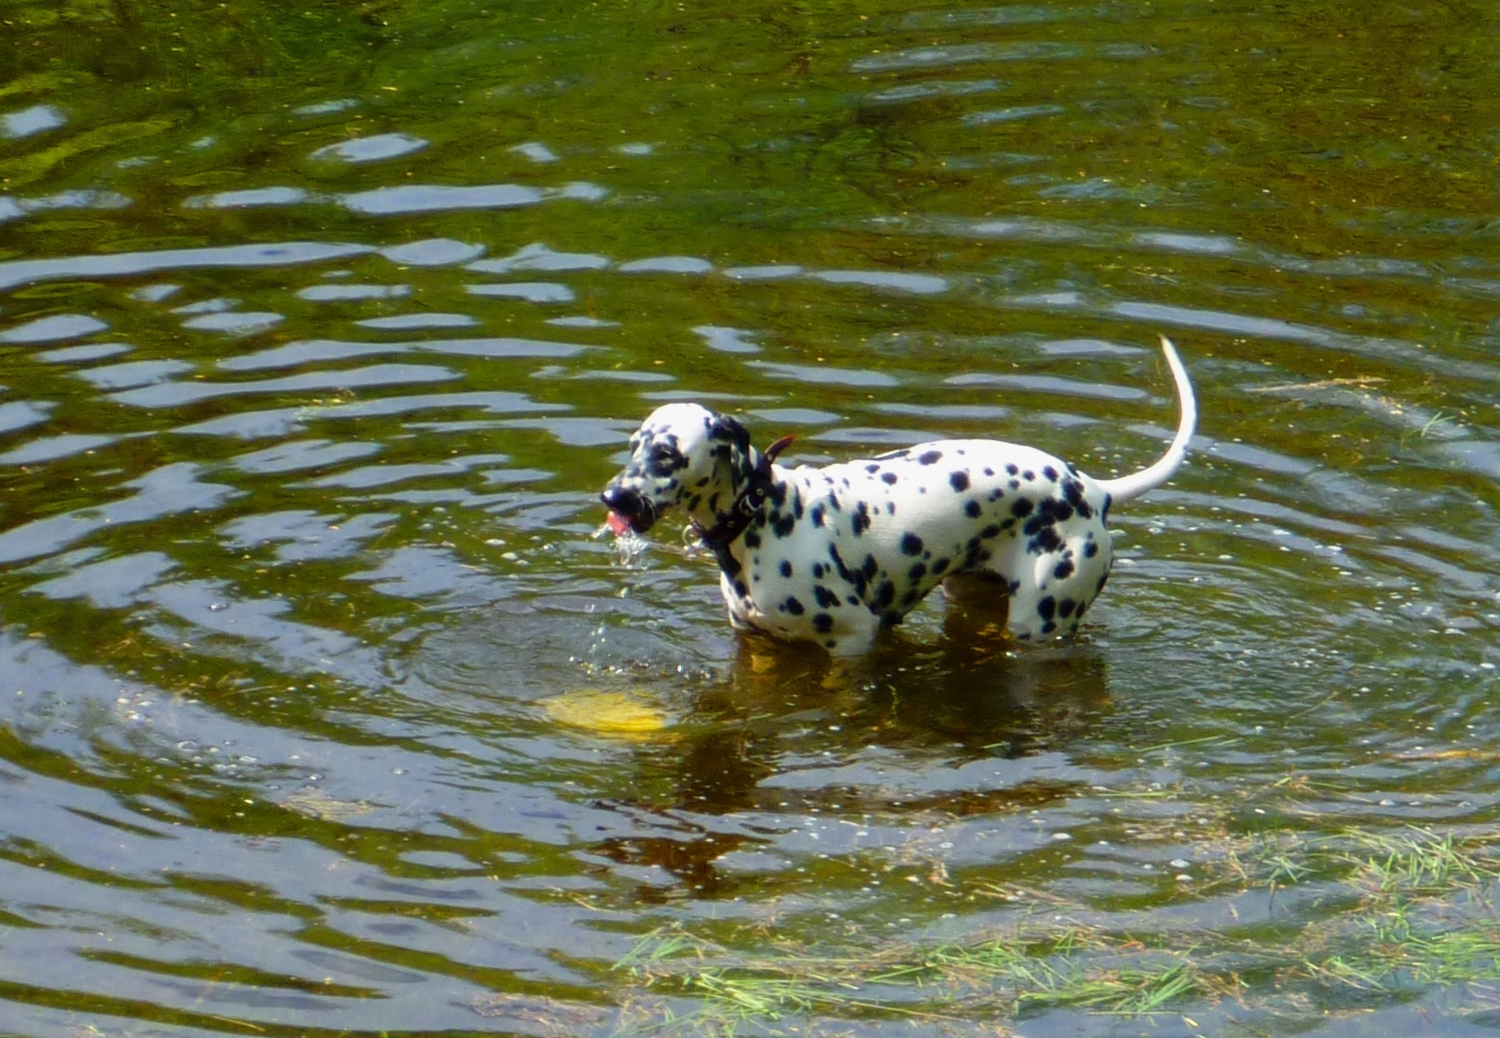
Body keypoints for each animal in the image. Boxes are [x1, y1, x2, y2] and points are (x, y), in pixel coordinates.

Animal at [597, 336, 1194, 657]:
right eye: (634, 446)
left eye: (668, 453)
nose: (612, 496)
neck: (766, 517)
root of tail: (1090, 488)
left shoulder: (854, 639)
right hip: (974, 596)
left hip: (1040, 619)